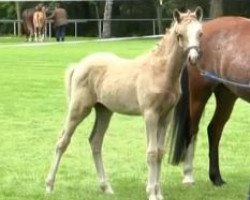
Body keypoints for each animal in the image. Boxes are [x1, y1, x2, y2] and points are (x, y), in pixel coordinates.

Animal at [45, 7, 203, 200]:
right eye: (180, 34)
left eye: (200, 33)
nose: (194, 58)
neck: (160, 71)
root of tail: (79, 65)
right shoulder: (150, 114)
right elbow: (151, 153)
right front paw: (151, 193)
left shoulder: (166, 116)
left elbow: (160, 152)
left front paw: (159, 193)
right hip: (79, 108)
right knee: (62, 141)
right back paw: (49, 186)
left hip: (104, 111)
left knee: (95, 142)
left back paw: (106, 187)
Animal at [170, 16, 250, 187]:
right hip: (198, 95)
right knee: (192, 130)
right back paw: (188, 176)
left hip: (226, 95)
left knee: (214, 130)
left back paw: (216, 178)